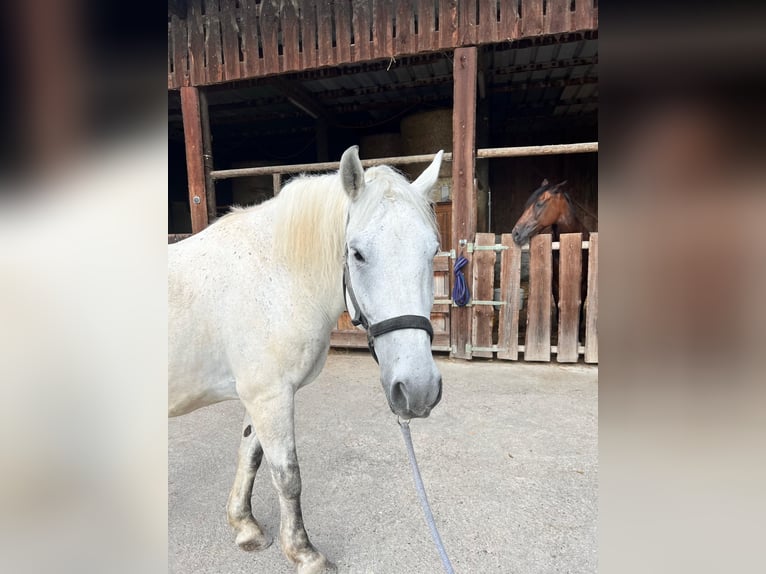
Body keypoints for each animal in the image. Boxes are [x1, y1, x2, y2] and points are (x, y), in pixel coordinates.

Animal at [168, 146, 444, 572]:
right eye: (357, 253)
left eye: (432, 251)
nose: (418, 390)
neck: (275, 277)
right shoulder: (271, 396)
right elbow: (288, 476)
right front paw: (304, 552)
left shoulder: (259, 397)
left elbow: (250, 456)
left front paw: (245, 526)